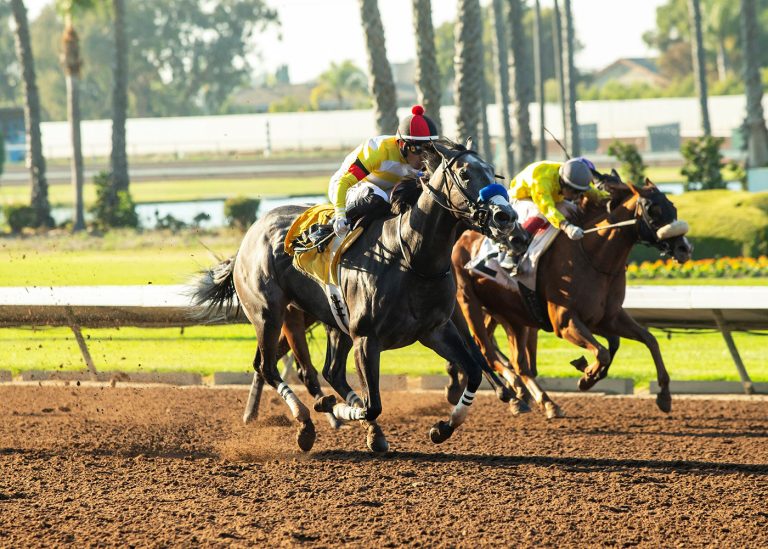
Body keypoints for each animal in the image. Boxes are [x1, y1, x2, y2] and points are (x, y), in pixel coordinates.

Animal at [195, 141, 524, 454]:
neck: (411, 257)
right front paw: (333, 408)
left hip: (331, 322)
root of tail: (249, 237)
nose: (506, 217)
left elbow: (473, 370)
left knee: (328, 371)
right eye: (466, 173)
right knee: (269, 367)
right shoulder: (366, 338)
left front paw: (443, 427)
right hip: (269, 314)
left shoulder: (435, 330)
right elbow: (372, 404)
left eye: (492, 171)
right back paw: (307, 423)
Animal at [448, 178, 692, 414]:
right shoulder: (564, 322)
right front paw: (587, 375)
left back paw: (541, 400)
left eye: (672, 206)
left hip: (509, 314)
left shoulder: (608, 318)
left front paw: (664, 396)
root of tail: (461, 238)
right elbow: (602, 352)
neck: (593, 257)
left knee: (518, 362)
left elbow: (648, 340)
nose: (684, 248)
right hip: (470, 304)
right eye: (652, 210)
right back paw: (513, 395)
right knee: (487, 352)